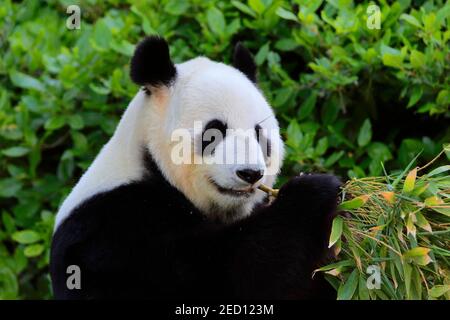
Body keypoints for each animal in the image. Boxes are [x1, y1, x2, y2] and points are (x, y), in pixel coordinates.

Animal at [50, 36, 342, 298]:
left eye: (260, 135)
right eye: (214, 132)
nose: (250, 173)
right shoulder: (113, 231)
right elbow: (219, 275)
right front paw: (317, 193)